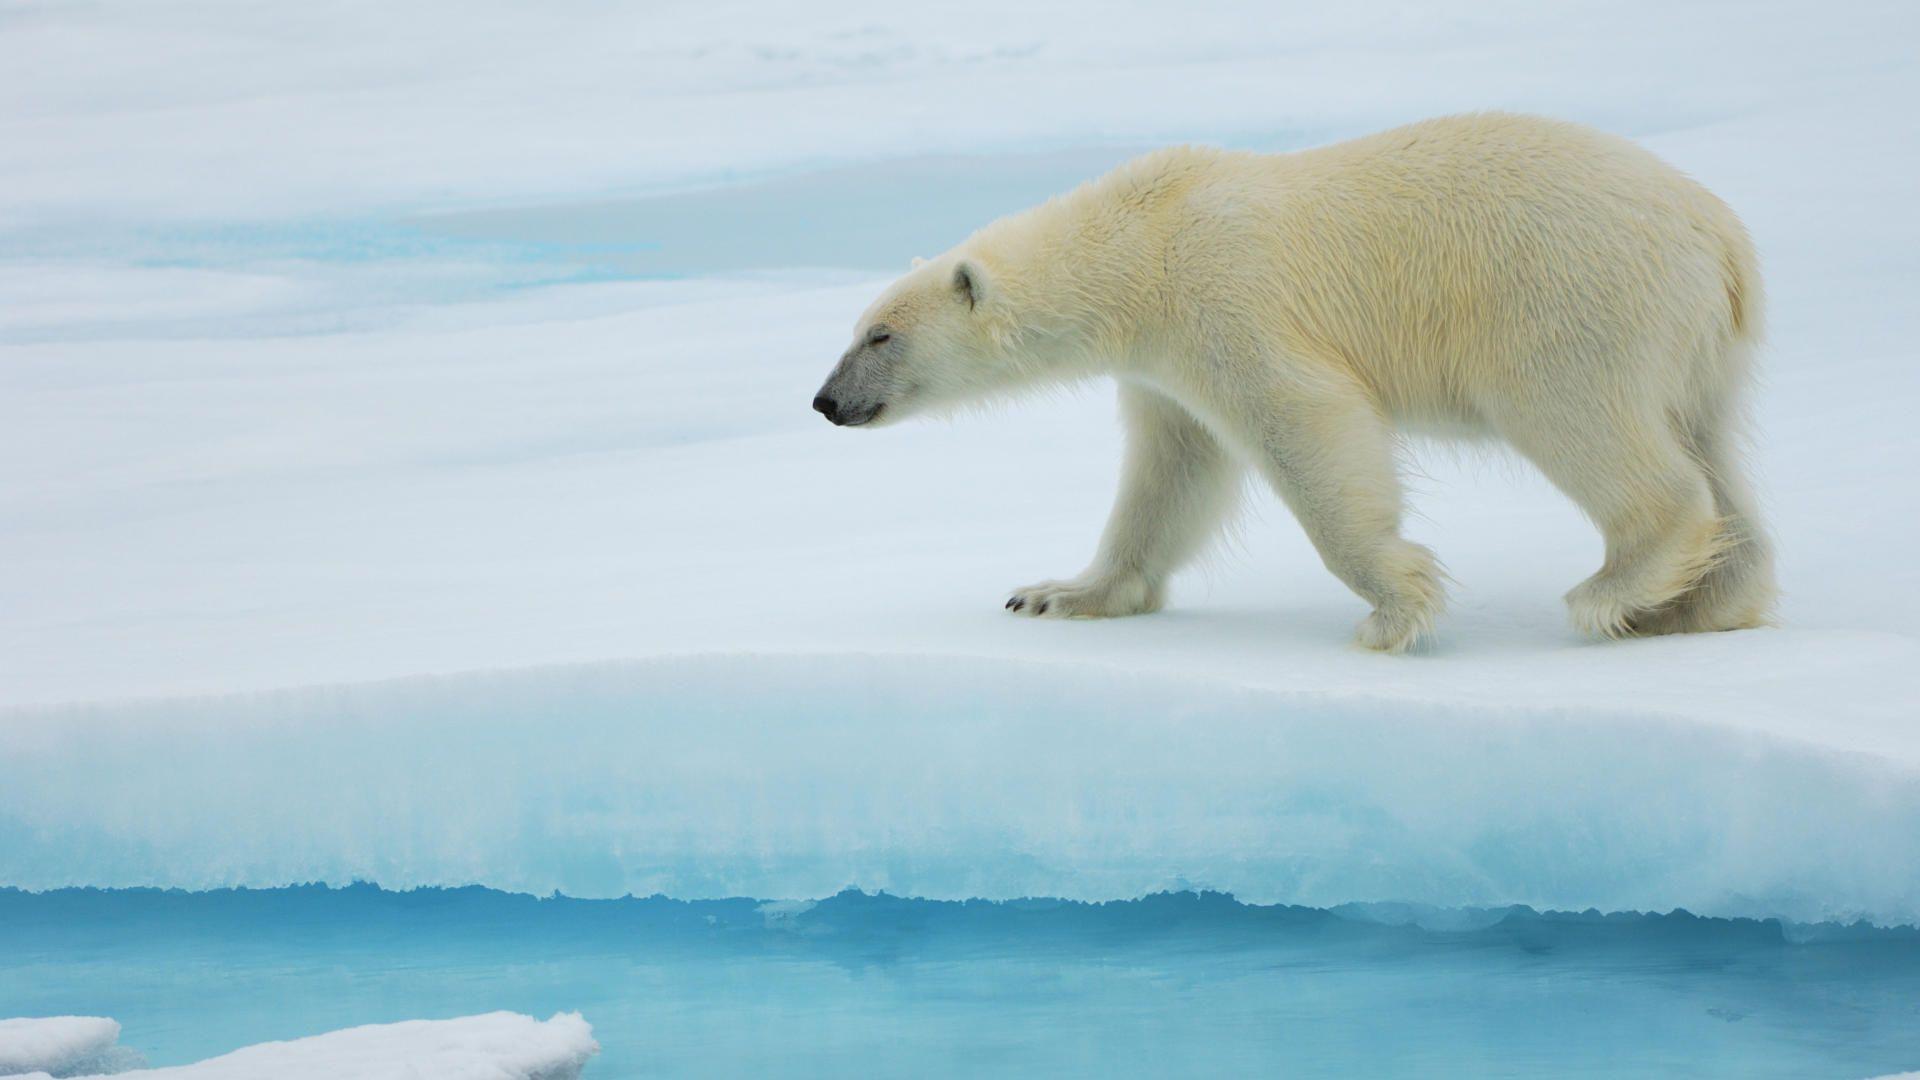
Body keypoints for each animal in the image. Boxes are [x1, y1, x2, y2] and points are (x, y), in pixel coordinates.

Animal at [812, 112, 1775, 651]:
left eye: (881, 334)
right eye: (855, 330)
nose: (825, 402)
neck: (1141, 242)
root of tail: (1721, 236)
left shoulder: (1225, 299)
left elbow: (1305, 423)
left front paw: (1395, 607)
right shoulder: (1163, 366)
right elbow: (1171, 473)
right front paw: (1056, 594)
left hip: (1568, 300)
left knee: (1589, 426)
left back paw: (1615, 590)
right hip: (1698, 346)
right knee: (1713, 447)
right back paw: (1700, 604)